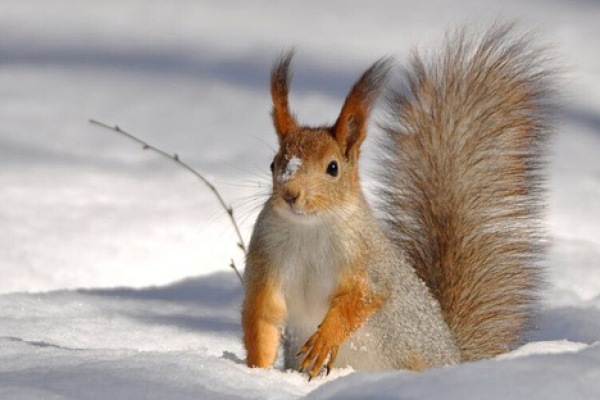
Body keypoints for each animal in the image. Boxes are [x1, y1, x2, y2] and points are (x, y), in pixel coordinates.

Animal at [240, 23, 556, 380]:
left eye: (333, 168)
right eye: (273, 164)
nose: (291, 194)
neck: (310, 227)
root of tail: (455, 356)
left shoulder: (370, 263)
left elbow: (364, 298)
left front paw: (325, 338)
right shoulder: (266, 261)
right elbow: (262, 317)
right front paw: (255, 370)